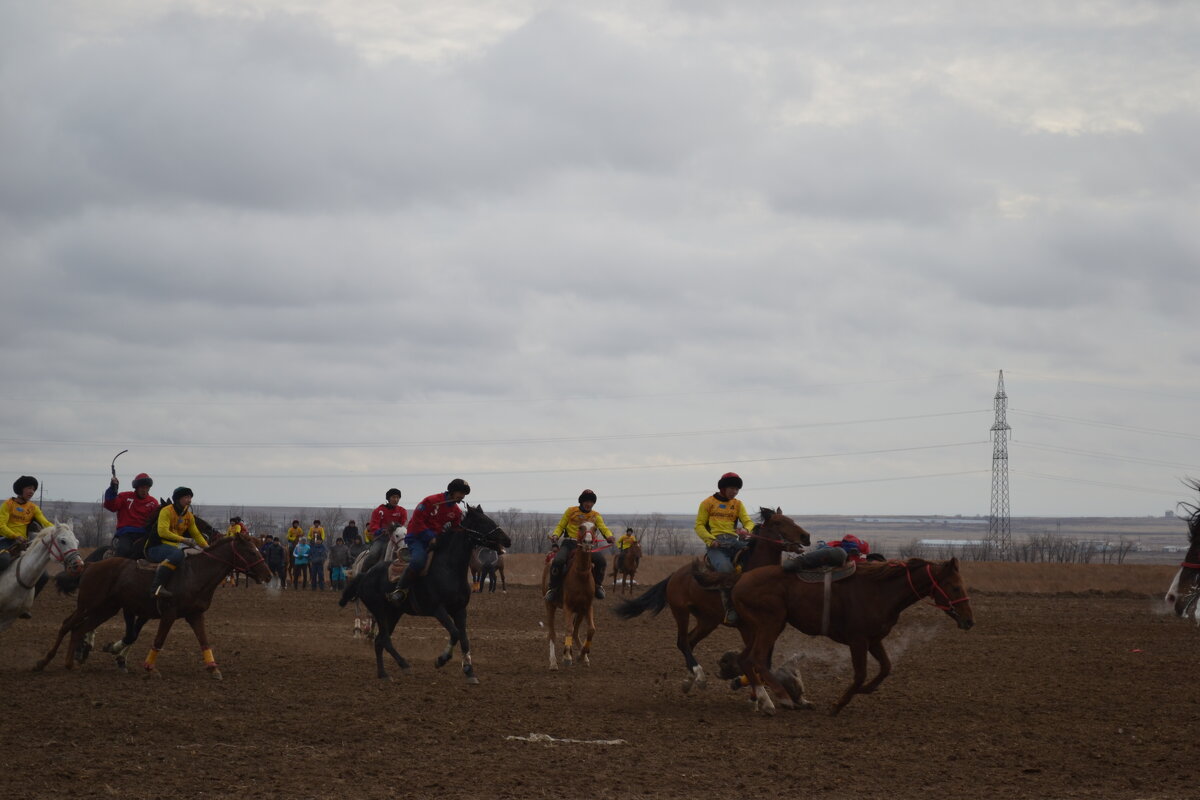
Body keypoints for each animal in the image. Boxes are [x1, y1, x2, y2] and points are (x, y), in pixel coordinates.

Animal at [34, 534, 273, 681]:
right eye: (252, 552)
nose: (268, 575)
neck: (195, 574)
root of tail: (91, 565)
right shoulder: (168, 614)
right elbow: (158, 640)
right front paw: (150, 668)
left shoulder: (195, 615)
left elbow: (204, 641)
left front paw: (214, 668)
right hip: (88, 604)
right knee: (68, 625)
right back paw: (45, 661)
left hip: (105, 609)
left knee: (79, 629)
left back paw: (69, 663)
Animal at [338, 506, 511, 681]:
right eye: (483, 522)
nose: (507, 540)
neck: (448, 568)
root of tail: (365, 575)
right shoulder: (438, 609)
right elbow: (455, 633)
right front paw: (441, 659)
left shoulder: (460, 610)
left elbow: (464, 638)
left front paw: (469, 670)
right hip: (379, 610)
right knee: (384, 638)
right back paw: (404, 664)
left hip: (393, 613)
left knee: (380, 640)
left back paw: (383, 674)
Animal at [614, 510, 811, 690]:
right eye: (778, 522)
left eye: (791, 519)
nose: (806, 536)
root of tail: (675, 575)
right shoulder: (746, 628)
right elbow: (757, 659)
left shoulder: (767, 627)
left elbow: (764, 659)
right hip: (681, 611)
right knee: (683, 641)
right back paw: (699, 675)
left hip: (707, 620)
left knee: (690, 641)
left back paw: (690, 678)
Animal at [720, 556, 974, 719]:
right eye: (954, 587)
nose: (969, 621)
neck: (881, 591)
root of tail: (740, 581)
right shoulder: (858, 640)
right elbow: (860, 674)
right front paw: (837, 705)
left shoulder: (874, 640)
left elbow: (885, 668)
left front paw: (865, 691)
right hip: (771, 624)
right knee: (757, 659)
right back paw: (781, 697)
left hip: (756, 628)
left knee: (745, 659)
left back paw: (765, 701)